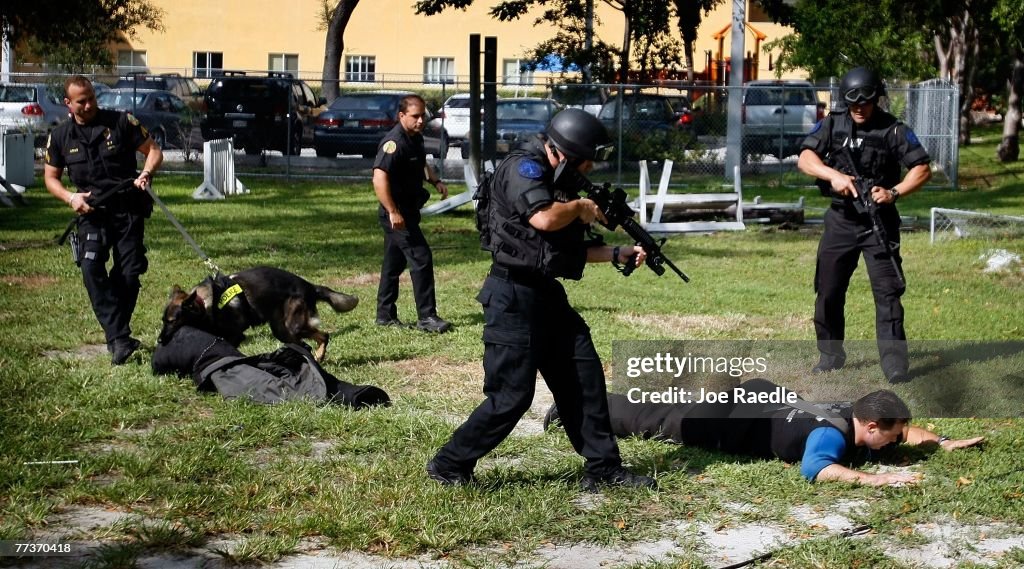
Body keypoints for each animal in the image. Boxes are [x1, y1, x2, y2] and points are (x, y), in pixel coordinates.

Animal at [155, 266, 356, 360]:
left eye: (172, 321)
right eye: (163, 320)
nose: (159, 341)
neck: (206, 305)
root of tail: (310, 286)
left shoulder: (236, 335)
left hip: (293, 326)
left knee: (322, 337)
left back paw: (317, 357)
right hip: (282, 330)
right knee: (312, 341)